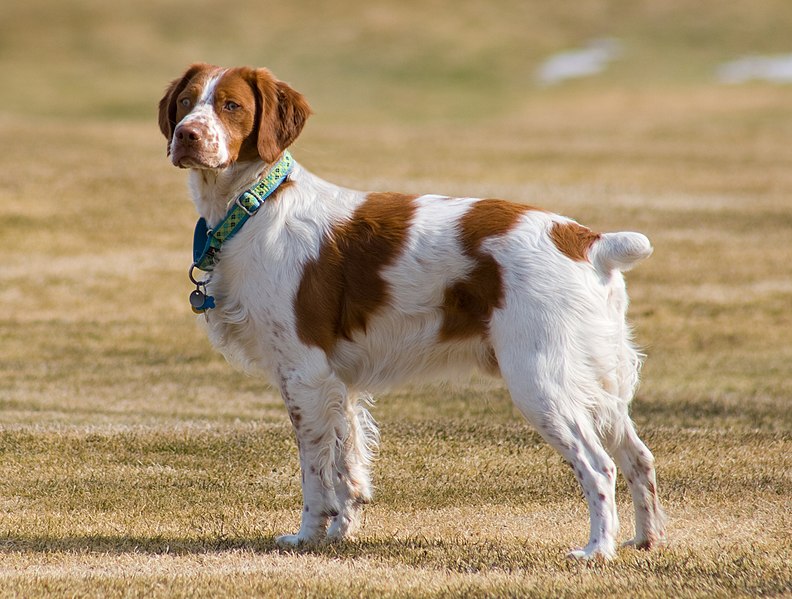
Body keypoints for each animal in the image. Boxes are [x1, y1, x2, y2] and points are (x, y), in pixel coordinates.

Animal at [158, 63, 664, 560]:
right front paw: (340, 534)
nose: (186, 135)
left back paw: (597, 549)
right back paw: (645, 540)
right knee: (638, 457)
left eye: (231, 106)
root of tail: (588, 241)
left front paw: (306, 536)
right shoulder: (338, 384)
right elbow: (348, 466)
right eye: (186, 101)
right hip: (598, 382)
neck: (256, 207)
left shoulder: (304, 374)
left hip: (541, 381)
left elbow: (316, 473)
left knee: (599, 466)